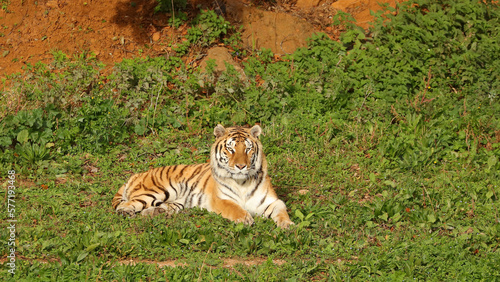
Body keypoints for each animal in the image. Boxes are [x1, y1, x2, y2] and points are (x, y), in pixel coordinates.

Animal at [111, 124, 294, 228]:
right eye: (231, 149)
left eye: (248, 149)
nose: (241, 166)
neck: (242, 182)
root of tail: (138, 174)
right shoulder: (221, 200)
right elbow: (234, 208)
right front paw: (245, 219)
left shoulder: (272, 201)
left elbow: (281, 211)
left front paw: (288, 225)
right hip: (157, 191)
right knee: (125, 205)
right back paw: (126, 213)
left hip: (176, 202)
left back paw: (153, 213)